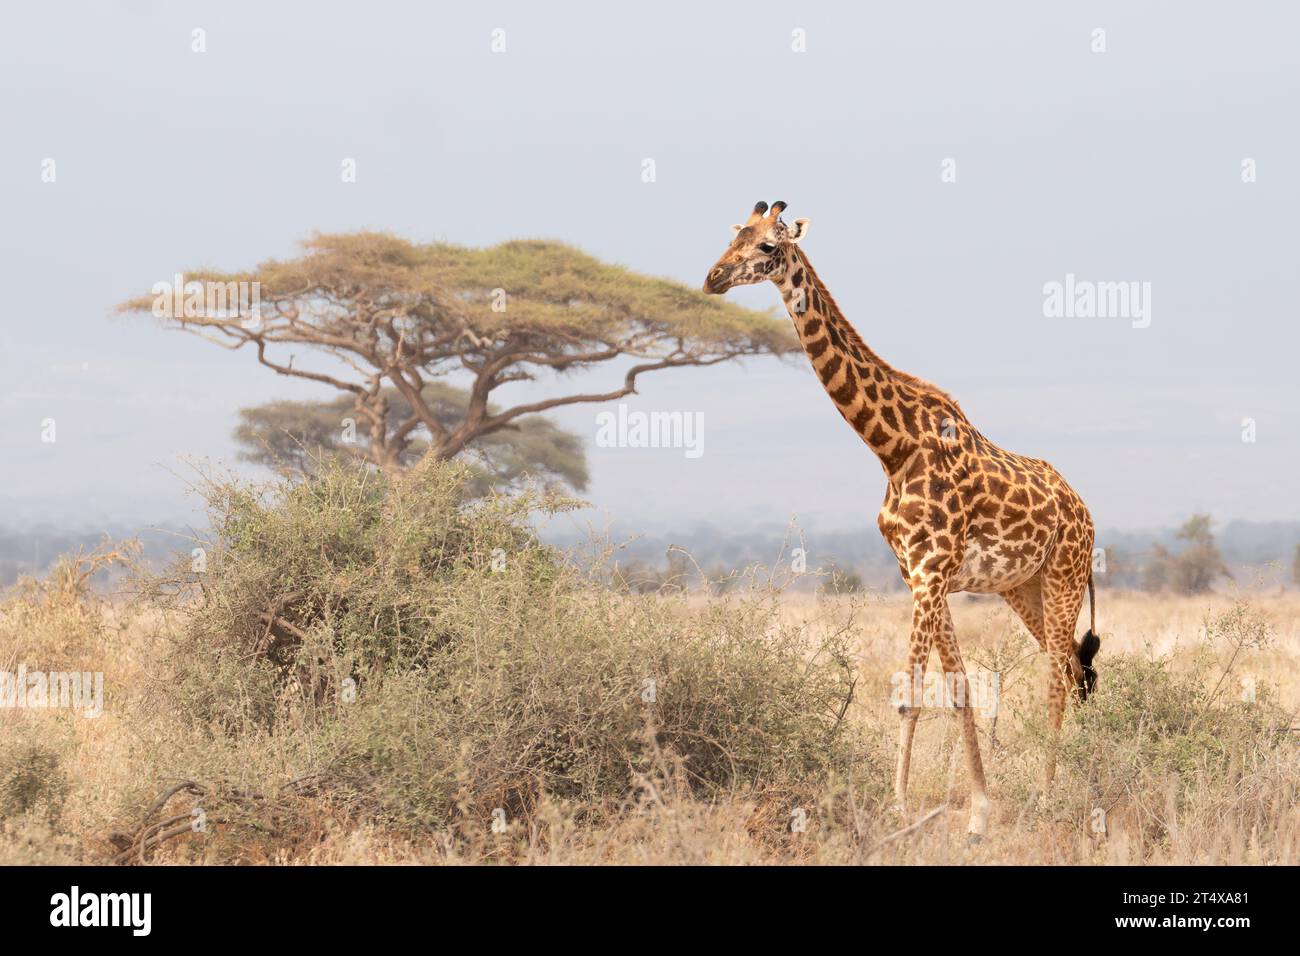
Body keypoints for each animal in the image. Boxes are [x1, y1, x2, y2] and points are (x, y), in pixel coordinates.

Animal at [704, 201, 1101, 839]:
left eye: (767, 246)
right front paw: (978, 813)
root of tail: (1087, 512)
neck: (891, 446)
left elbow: (910, 691)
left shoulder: (932, 569)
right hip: (1024, 587)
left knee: (1061, 674)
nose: (712, 278)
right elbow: (959, 687)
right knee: (1071, 667)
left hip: (1064, 574)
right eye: (734, 233)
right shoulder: (917, 571)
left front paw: (898, 811)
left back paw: (1049, 796)